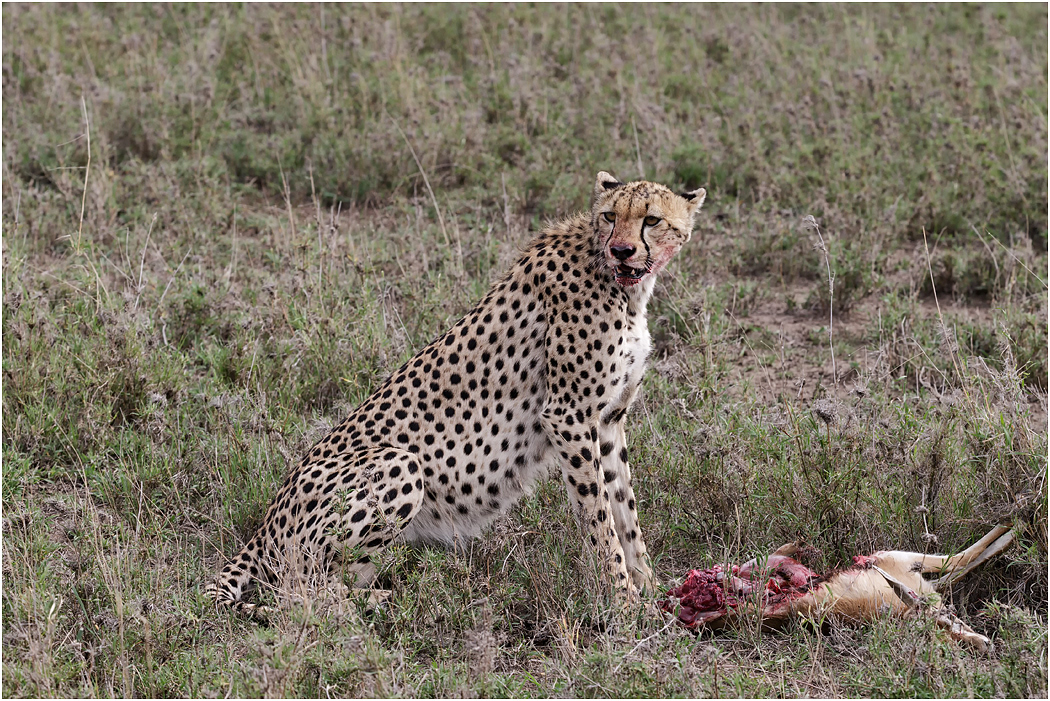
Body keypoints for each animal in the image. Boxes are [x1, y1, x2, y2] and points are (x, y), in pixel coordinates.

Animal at [206, 172, 706, 615]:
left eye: (651, 220)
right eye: (609, 216)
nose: (622, 249)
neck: (622, 284)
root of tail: (265, 523)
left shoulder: (607, 420)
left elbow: (625, 509)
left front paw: (651, 587)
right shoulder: (568, 415)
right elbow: (599, 518)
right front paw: (623, 600)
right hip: (398, 464)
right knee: (297, 589)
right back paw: (385, 602)